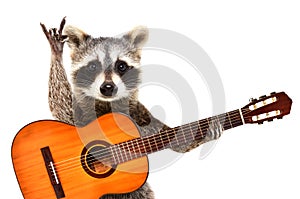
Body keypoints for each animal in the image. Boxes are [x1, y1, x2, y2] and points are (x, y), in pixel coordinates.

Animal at [41, 17, 221, 198]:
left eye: (121, 66)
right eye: (93, 66)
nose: (107, 87)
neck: (107, 103)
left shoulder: (140, 113)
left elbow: (176, 141)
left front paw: (207, 132)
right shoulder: (77, 110)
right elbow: (60, 105)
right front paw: (56, 53)